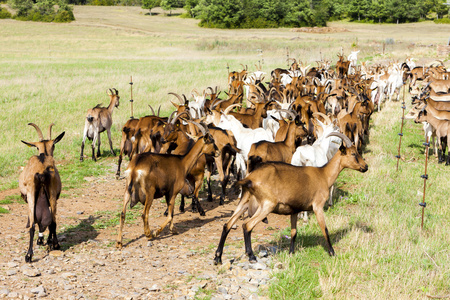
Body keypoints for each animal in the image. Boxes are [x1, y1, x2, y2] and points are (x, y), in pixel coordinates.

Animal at [19, 123, 64, 262]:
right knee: (53, 221)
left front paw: (41, 240)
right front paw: (46, 240)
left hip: (31, 194)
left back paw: (29, 255)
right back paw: (55, 244)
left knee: (33, 225)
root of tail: (43, 170)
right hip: (53, 194)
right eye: (53, 145)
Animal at [213, 132, 368, 264]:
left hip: (244, 201)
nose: (365, 167)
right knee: (247, 225)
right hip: (267, 205)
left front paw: (291, 253)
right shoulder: (317, 206)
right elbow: (325, 229)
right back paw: (251, 256)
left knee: (227, 224)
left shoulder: (294, 210)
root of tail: (250, 178)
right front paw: (332, 252)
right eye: (353, 153)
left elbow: (294, 232)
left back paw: (218, 258)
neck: (323, 175)